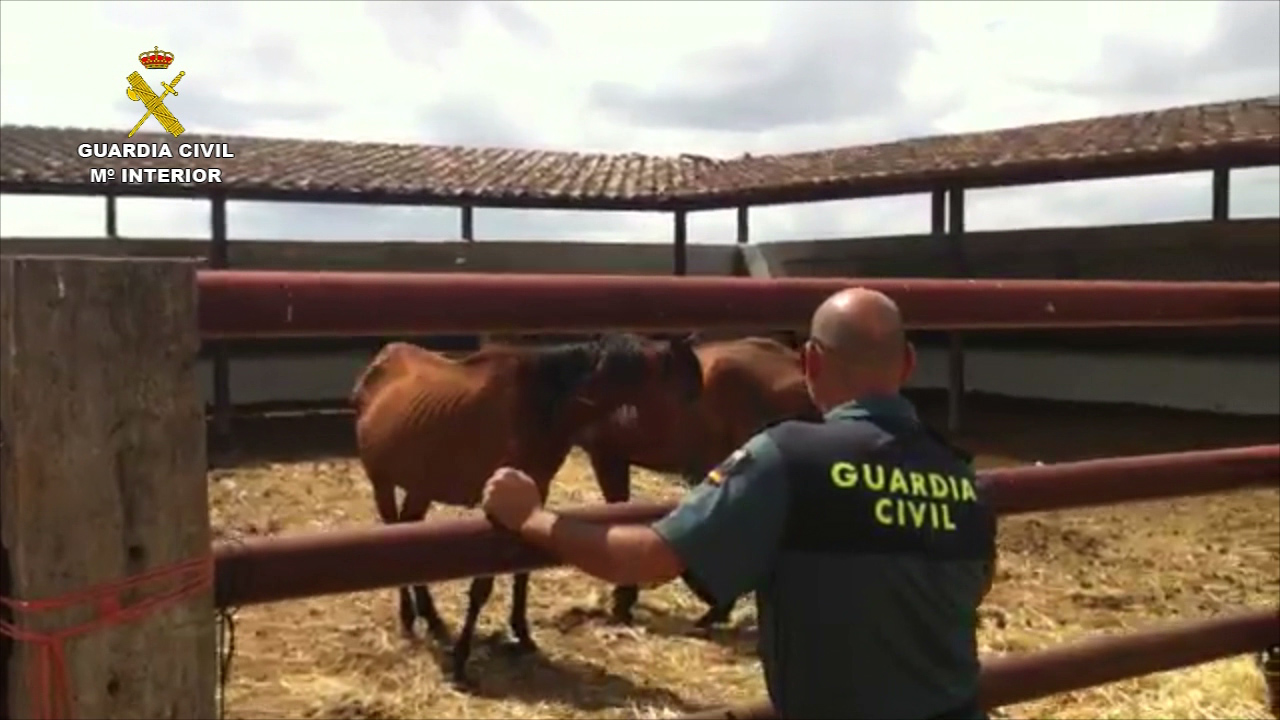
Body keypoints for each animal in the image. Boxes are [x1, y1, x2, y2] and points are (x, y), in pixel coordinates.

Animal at [353, 330, 701, 681]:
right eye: (684, 394)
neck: (543, 407)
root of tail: (381, 360)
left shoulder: (533, 494)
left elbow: (523, 570)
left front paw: (521, 634)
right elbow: (482, 586)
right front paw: (462, 660)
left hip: (421, 486)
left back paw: (432, 618)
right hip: (381, 481)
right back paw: (409, 617)